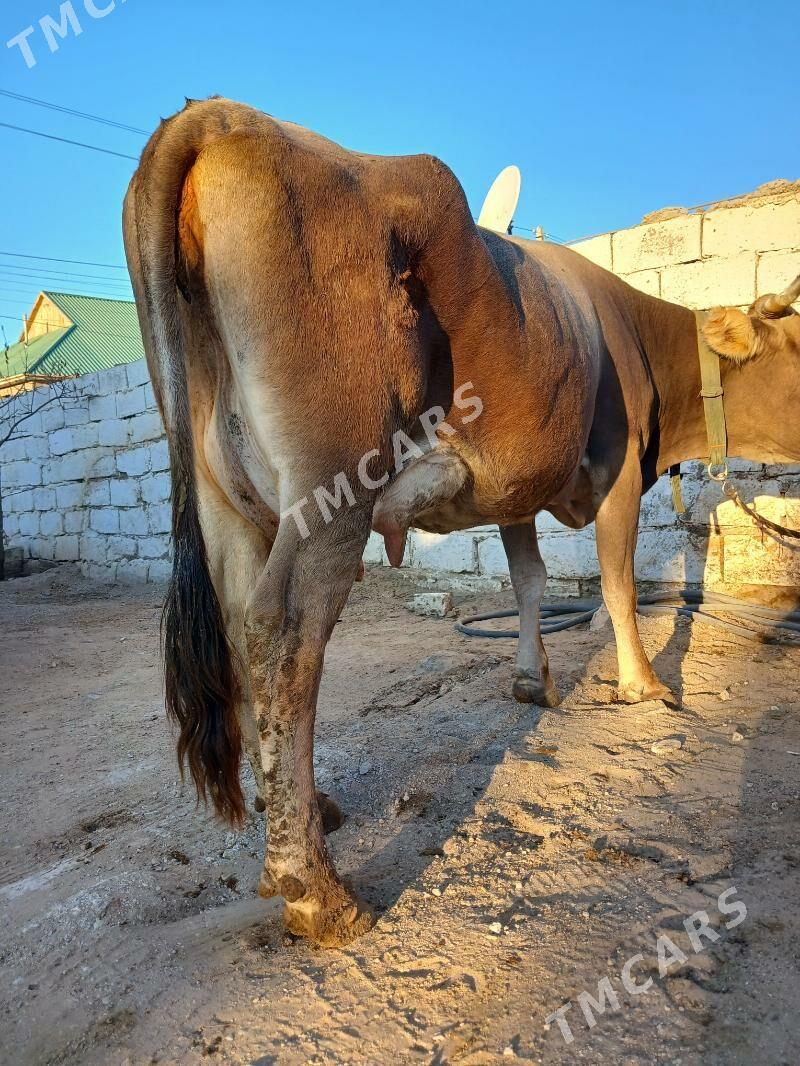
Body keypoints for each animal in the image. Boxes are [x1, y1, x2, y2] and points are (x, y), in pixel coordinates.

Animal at [125, 100, 800, 946]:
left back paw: (307, 818)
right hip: (329, 485)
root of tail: (220, 115)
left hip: (230, 501)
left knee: (237, 622)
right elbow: (615, 582)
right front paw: (644, 684)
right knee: (280, 630)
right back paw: (315, 890)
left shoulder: (511, 488)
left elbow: (530, 579)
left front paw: (532, 680)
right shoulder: (614, 471)